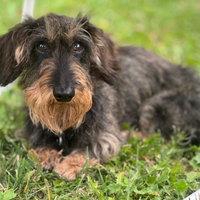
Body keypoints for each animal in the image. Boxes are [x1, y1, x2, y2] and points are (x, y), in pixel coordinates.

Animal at [0, 13, 200, 180]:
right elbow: (37, 144)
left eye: (78, 46)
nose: (64, 94)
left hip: (156, 105)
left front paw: (71, 165)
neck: (65, 120)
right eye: (41, 46)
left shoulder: (106, 136)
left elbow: (94, 146)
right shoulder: (31, 132)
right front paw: (47, 157)